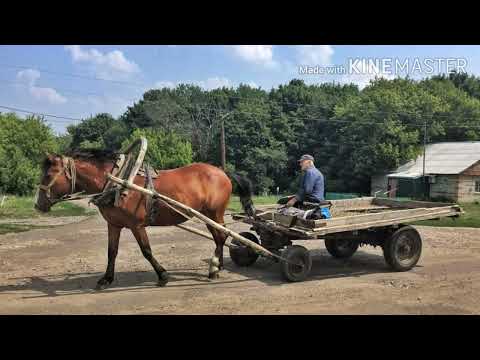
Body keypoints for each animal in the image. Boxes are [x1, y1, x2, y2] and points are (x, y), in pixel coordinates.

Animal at [35, 150, 253, 292]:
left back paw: (214, 267)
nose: (38, 205)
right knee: (220, 237)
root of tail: (222, 171)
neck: (118, 183)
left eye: (48, 175)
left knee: (221, 236)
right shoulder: (114, 225)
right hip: (210, 215)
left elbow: (146, 251)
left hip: (214, 213)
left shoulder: (136, 225)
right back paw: (218, 266)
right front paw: (106, 279)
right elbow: (111, 252)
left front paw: (163, 276)